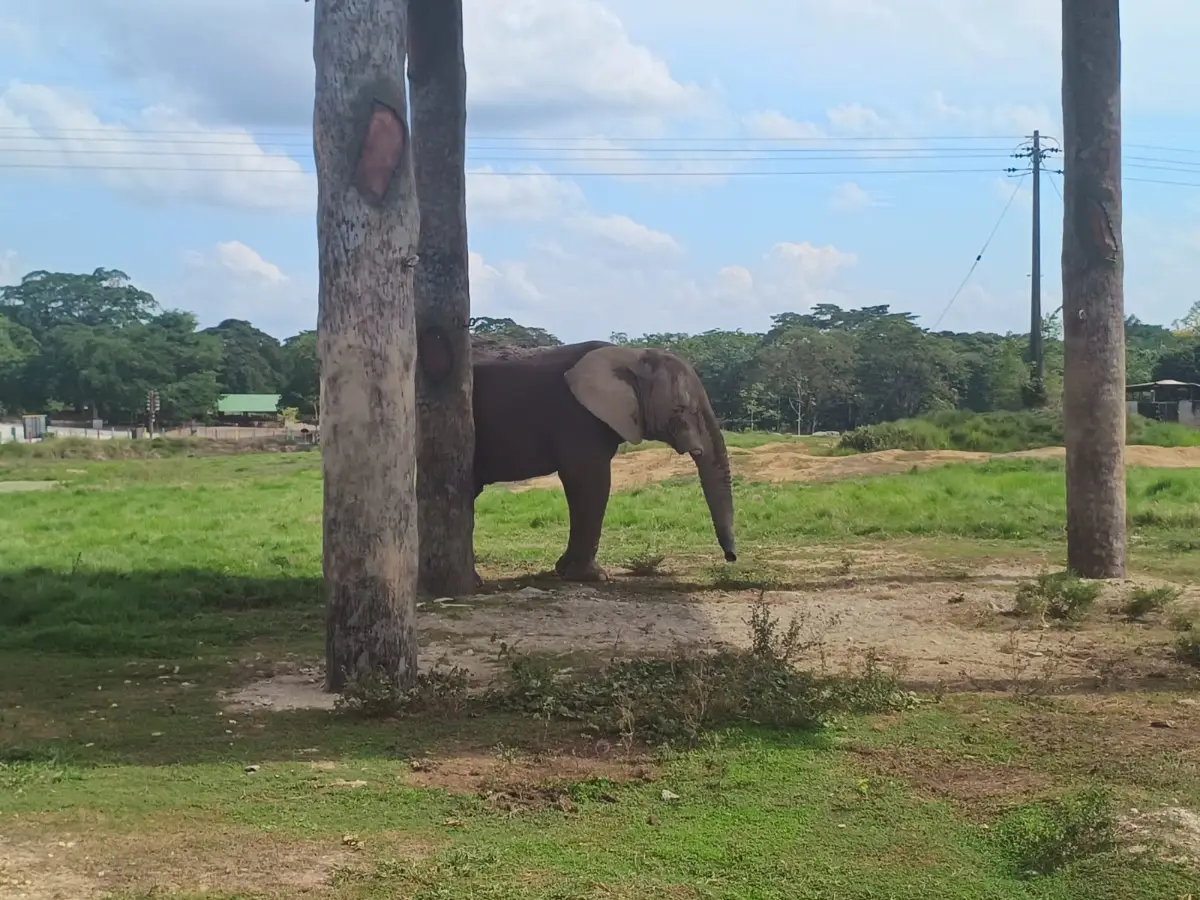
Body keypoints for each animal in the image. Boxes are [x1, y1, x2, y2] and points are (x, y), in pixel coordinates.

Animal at [471, 339, 737, 582]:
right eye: (680, 409)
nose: (731, 557)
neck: (633, 355)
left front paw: (563, 571)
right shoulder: (579, 417)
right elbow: (590, 481)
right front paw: (591, 576)